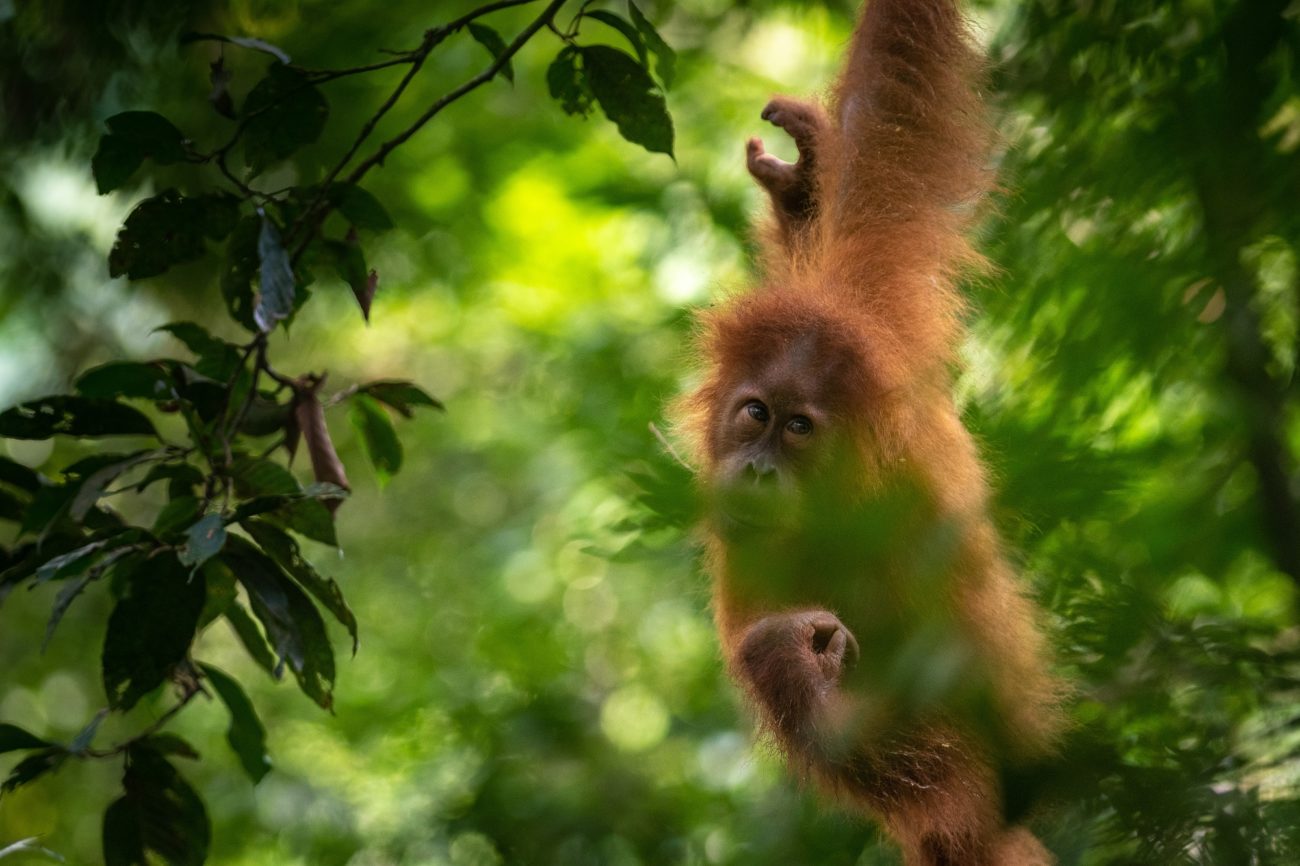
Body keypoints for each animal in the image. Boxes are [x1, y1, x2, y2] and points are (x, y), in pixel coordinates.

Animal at [676, 1, 1065, 864]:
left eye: (798, 427)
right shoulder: (870, 309)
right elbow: (881, 136)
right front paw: (808, 175)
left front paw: (794, 666)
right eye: (756, 414)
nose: (758, 470)